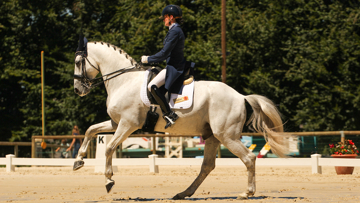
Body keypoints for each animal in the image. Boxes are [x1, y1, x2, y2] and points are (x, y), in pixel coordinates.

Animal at [73, 40, 290, 199]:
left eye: (77, 62)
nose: (78, 90)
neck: (124, 81)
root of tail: (240, 96)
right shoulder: (117, 123)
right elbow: (90, 130)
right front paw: (78, 161)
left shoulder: (128, 124)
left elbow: (109, 148)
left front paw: (109, 181)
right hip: (212, 136)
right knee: (207, 166)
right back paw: (184, 193)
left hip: (226, 136)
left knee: (248, 158)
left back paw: (246, 193)